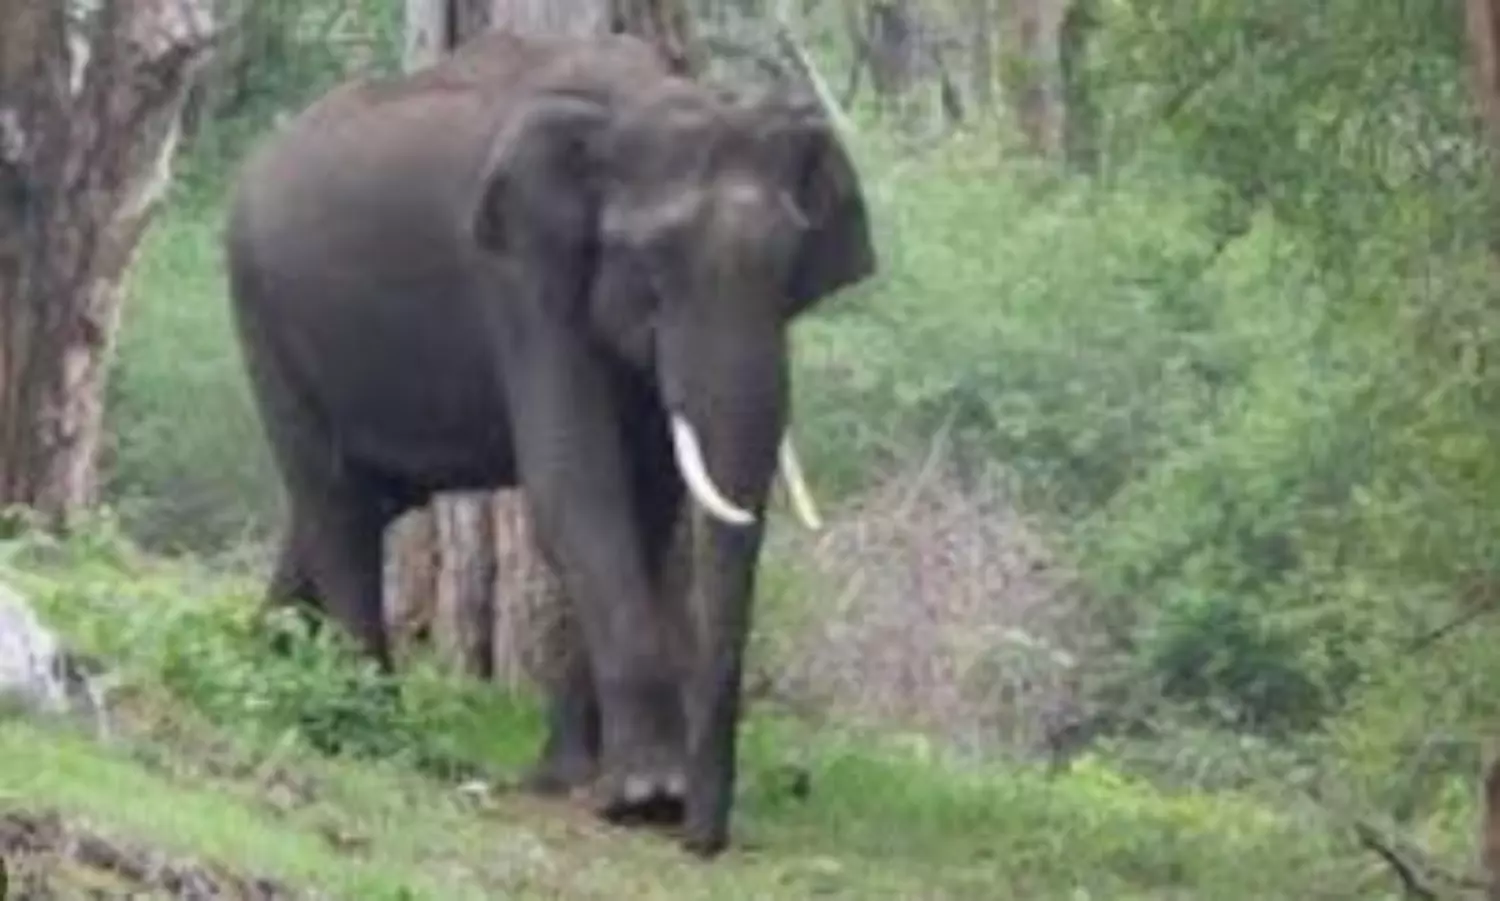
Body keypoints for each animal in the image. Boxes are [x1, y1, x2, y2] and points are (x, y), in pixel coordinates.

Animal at [222, 29, 875, 856]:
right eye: (653, 267)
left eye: (792, 267)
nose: (702, 839)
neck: (643, 99)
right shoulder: (525, 276)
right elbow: (578, 484)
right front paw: (644, 795)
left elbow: (645, 499)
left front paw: (568, 780)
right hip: (261, 312)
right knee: (334, 499)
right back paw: (373, 725)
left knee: (349, 503)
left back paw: (264, 658)